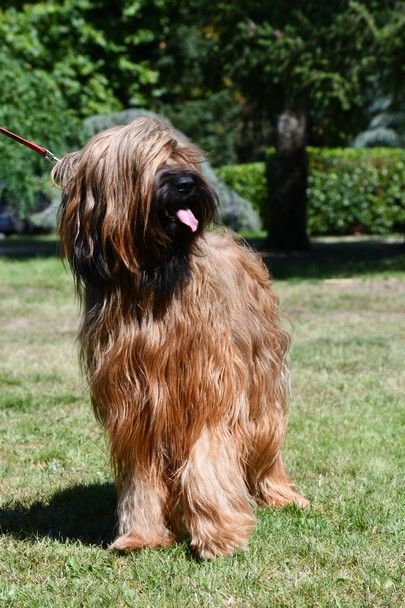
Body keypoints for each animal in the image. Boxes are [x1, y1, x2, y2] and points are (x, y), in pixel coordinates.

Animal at [52, 116, 307, 559]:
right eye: (148, 159)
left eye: (181, 154)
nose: (188, 183)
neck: (154, 286)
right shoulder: (133, 404)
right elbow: (141, 474)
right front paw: (142, 535)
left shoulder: (207, 388)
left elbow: (208, 456)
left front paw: (220, 535)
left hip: (261, 383)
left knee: (265, 442)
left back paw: (280, 495)